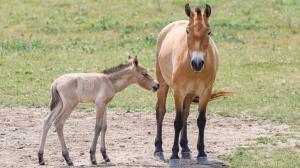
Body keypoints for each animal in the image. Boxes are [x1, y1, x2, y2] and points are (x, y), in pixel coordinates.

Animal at [154, 3, 231, 166]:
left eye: (209, 32)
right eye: (188, 31)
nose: (197, 63)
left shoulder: (205, 92)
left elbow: (200, 121)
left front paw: (201, 153)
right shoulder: (178, 91)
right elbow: (177, 122)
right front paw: (174, 156)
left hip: (189, 94)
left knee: (185, 114)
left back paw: (186, 149)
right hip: (163, 85)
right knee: (160, 111)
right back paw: (158, 149)